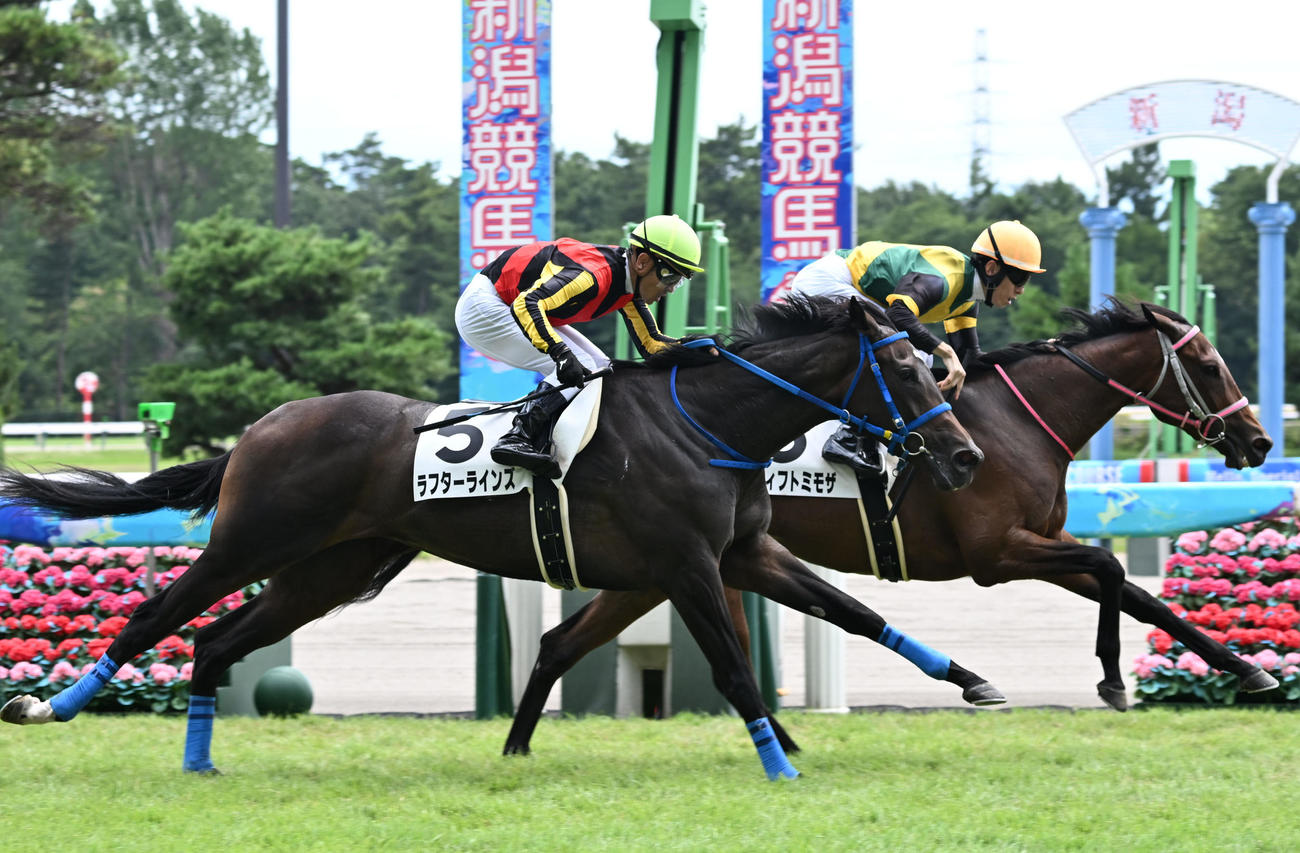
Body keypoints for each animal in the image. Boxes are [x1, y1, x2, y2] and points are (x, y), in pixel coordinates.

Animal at [0, 296, 991, 781]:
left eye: (936, 367)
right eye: (905, 370)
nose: (965, 455)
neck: (707, 422)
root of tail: (260, 427)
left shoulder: (744, 553)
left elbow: (853, 611)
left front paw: (971, 678)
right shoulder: (685, 563)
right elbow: (734, 668)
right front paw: (778, 764)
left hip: (327, 570)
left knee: (212, 641)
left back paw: (200, 760)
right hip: (251, 544)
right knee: (155, 616)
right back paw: (50, 706)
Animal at [499, 300, 1276, 755]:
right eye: (1208, 363)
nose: (1260, 441)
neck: (1014, 424)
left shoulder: (1038, 544)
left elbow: (1140, 594)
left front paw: (1249, 670)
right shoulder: (999, 553)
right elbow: (1113, 570)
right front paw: (1113, 680)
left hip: (663, 570)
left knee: (567, 641)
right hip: (674, 562)